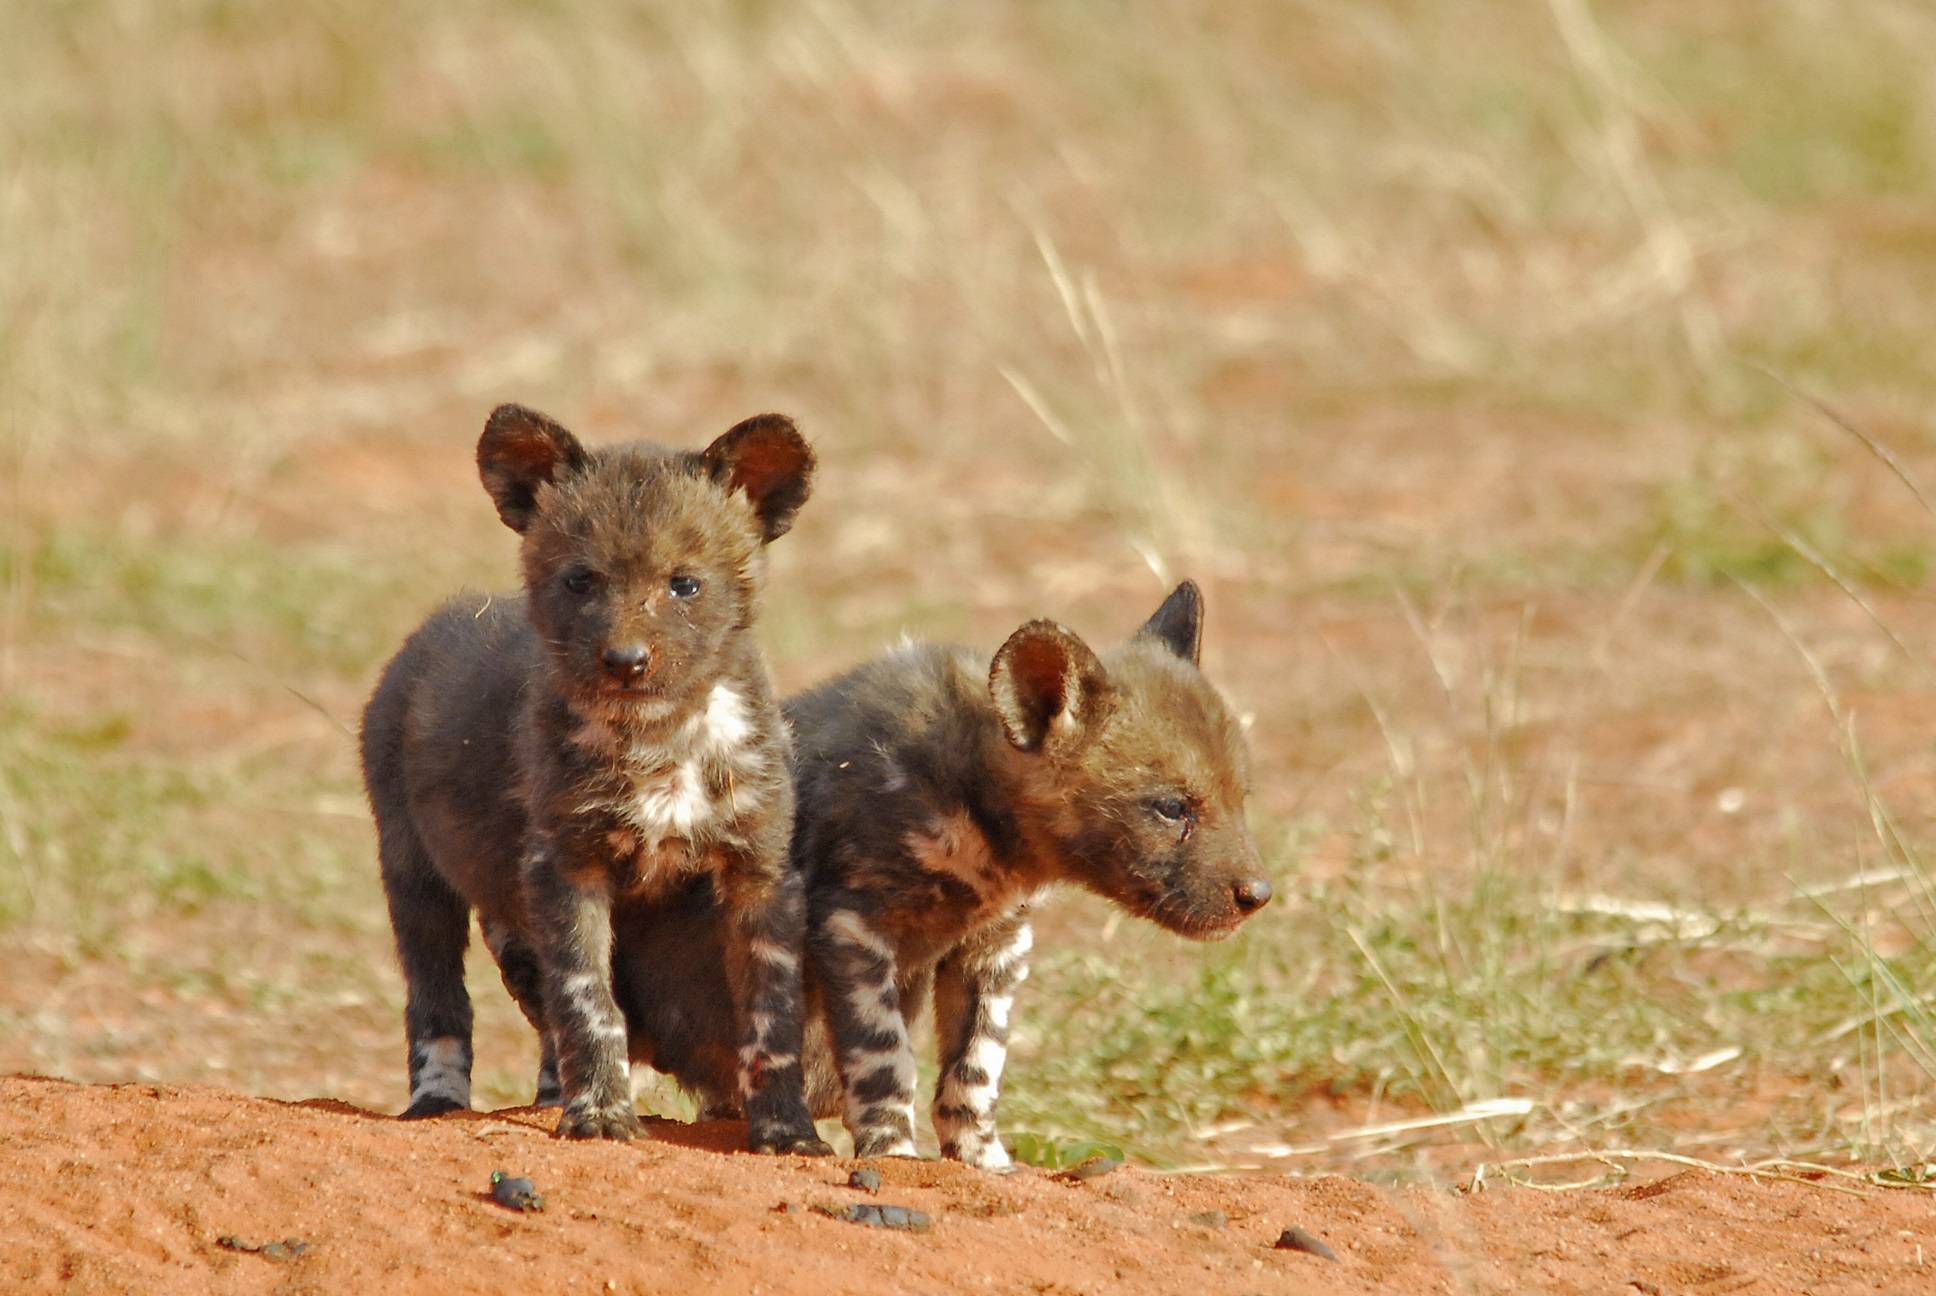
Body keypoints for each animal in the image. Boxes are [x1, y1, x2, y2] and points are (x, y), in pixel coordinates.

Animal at [360, 401, 828, 1154]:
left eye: (684, 584)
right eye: (581, 581)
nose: (625, 660)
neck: (661, 741)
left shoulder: (759, 875)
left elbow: (770, 1019)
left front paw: (788, 1132)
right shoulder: (569, 868)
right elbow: (590, 1000)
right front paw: (602, 1116)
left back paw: (549, 1095)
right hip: (412, 873)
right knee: (439, 1002)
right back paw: (439, 1103)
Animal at [607, 581, 1270, 1170]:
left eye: (1242, 799)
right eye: (1171, 808)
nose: (1258, 896)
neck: (971, 800)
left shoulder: (994, 946)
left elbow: (974, 1073)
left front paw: (984, 1163)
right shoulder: (855, 928)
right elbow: (885, 1058)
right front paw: (894, 1153)